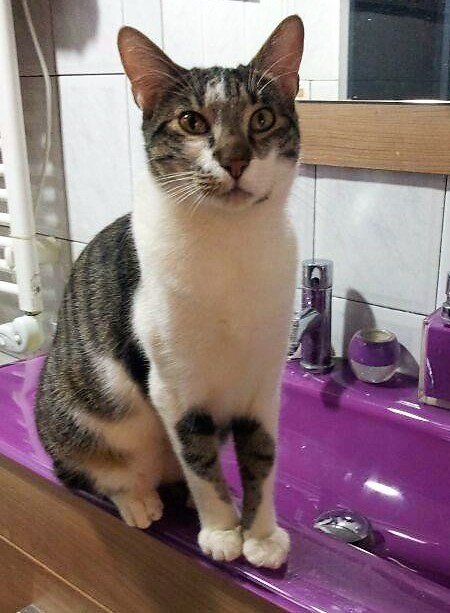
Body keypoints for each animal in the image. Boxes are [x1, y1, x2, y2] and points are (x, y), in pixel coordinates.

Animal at [35, 15, 304, 570]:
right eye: (192, 122)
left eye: (263, 118)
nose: (235, 158)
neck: (230, 243)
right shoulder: (175, 385)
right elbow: (200, 461)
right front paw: (222, 530)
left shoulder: (264, 383)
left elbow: (262, 458)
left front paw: (261, 534)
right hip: (80, 415)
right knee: (92, 467)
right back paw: (137, 498)